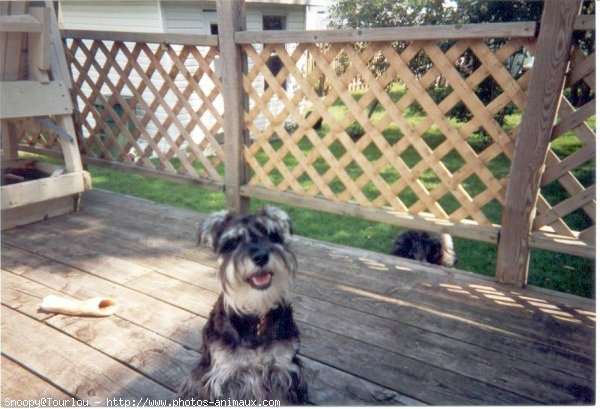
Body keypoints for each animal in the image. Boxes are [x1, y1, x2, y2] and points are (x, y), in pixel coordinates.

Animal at [178, 206, 308, 404]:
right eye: (232, 242)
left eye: (272, 235)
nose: (261, 257)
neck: (255, 315)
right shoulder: (224, 375)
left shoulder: (282, 370)